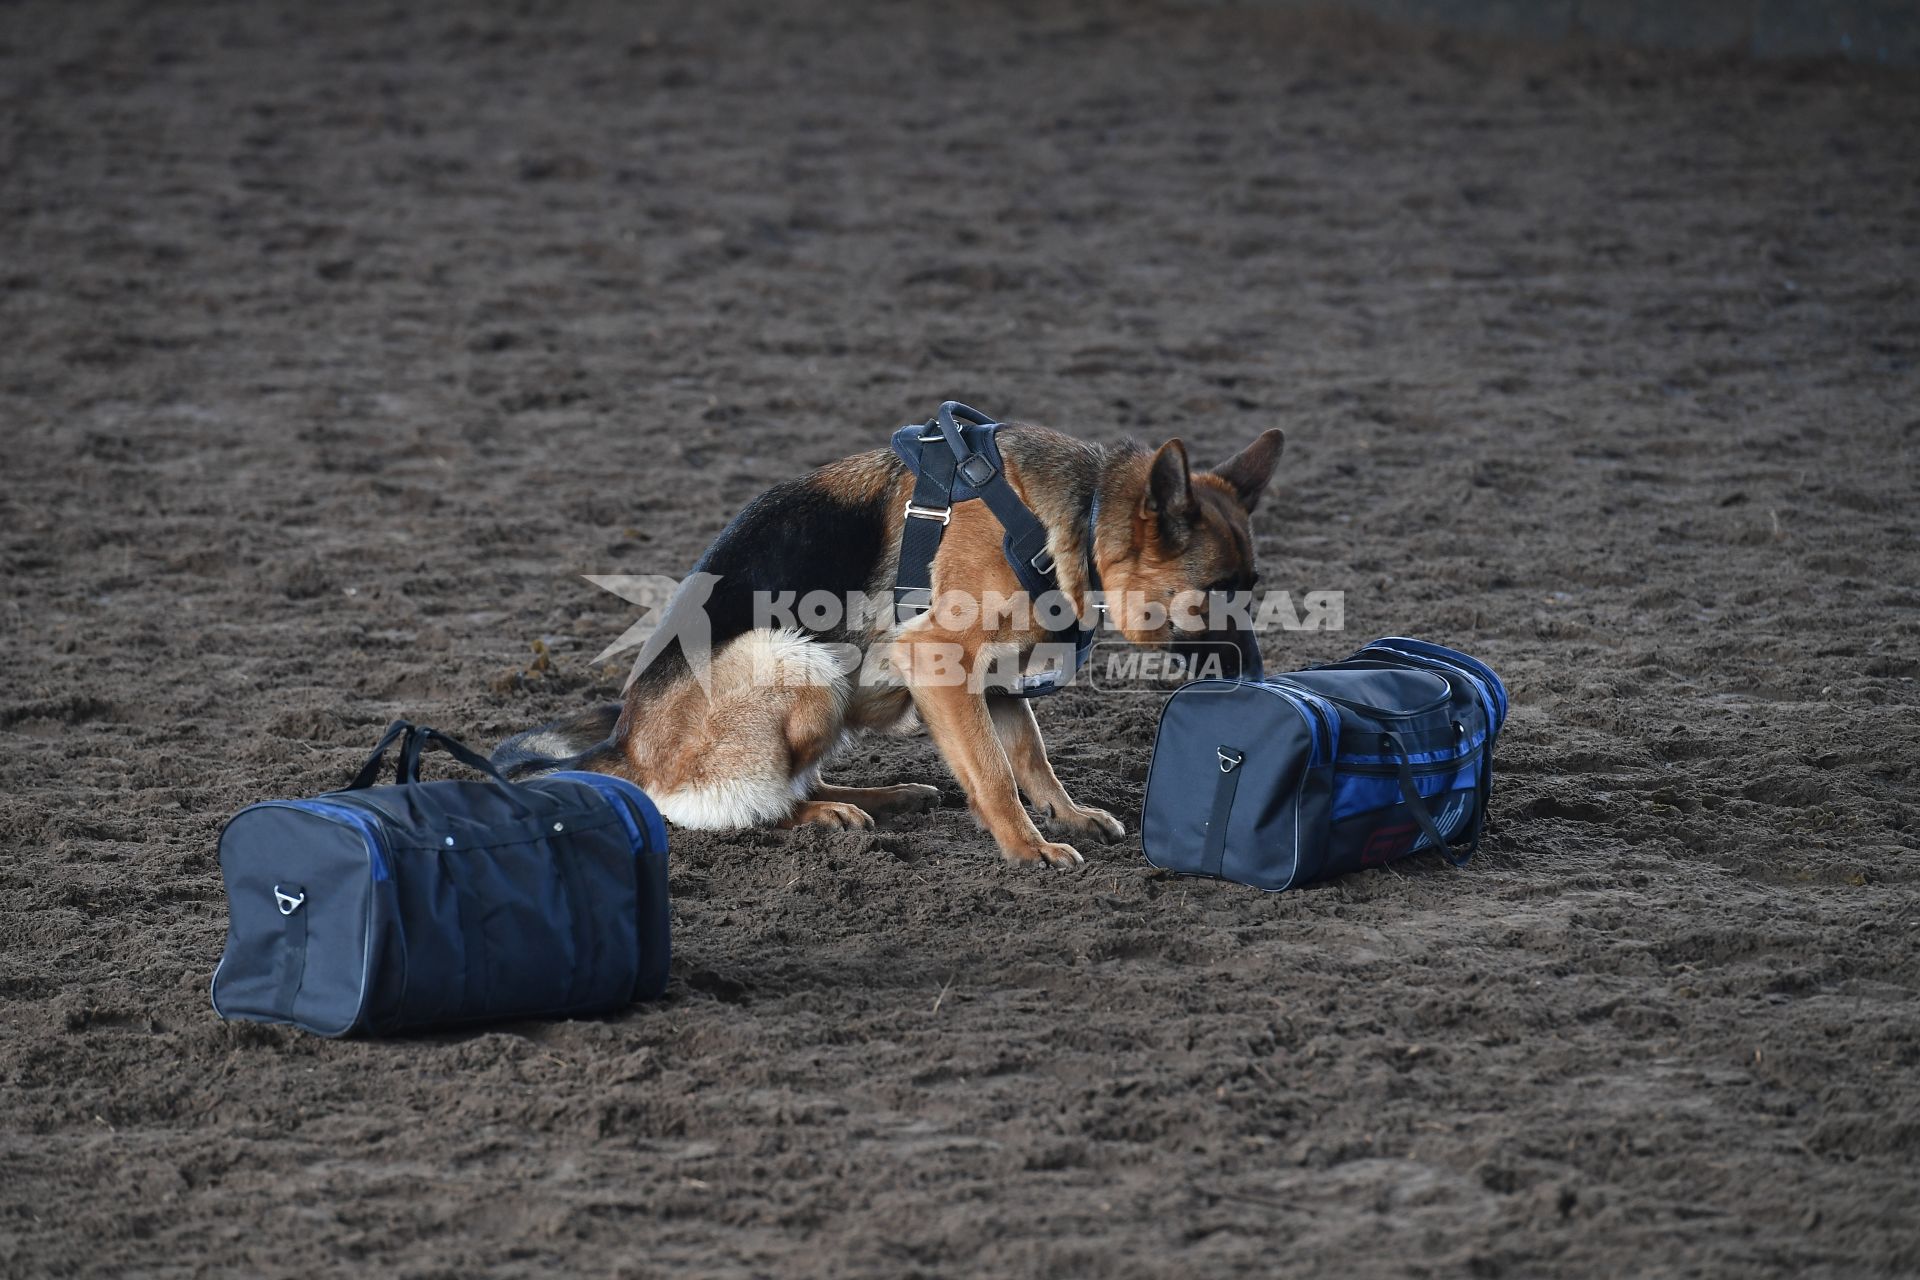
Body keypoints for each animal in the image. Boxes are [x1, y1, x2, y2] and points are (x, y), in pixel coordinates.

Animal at [491, 422, 1290, 871]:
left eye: (1253, 589)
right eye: (1215, 592)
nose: (1256, 677)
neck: (1081, 512)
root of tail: (625, 747)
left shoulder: (996, 680)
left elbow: (1030, 756)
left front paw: (1064, 815)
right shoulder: (944, 664)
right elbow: (995, 773)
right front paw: (1026, 848)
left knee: (792, 783)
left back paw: (884, 797)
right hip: (798, 660)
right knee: (749, 805)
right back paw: (821, 816)